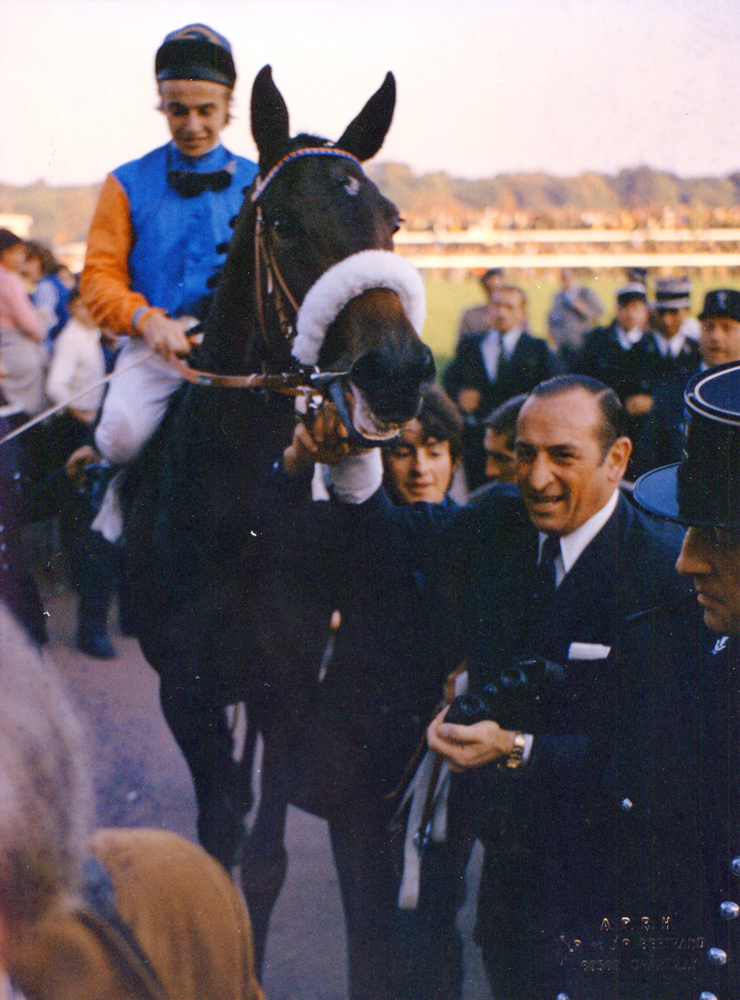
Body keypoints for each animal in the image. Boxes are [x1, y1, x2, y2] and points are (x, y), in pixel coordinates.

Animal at [120, 64, 434, 968]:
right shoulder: (184, 688)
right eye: (286, 222)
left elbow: (263, 862)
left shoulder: (287, 680)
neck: (239, 514)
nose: (397, 370)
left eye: (391, 219)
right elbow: (217, 838)